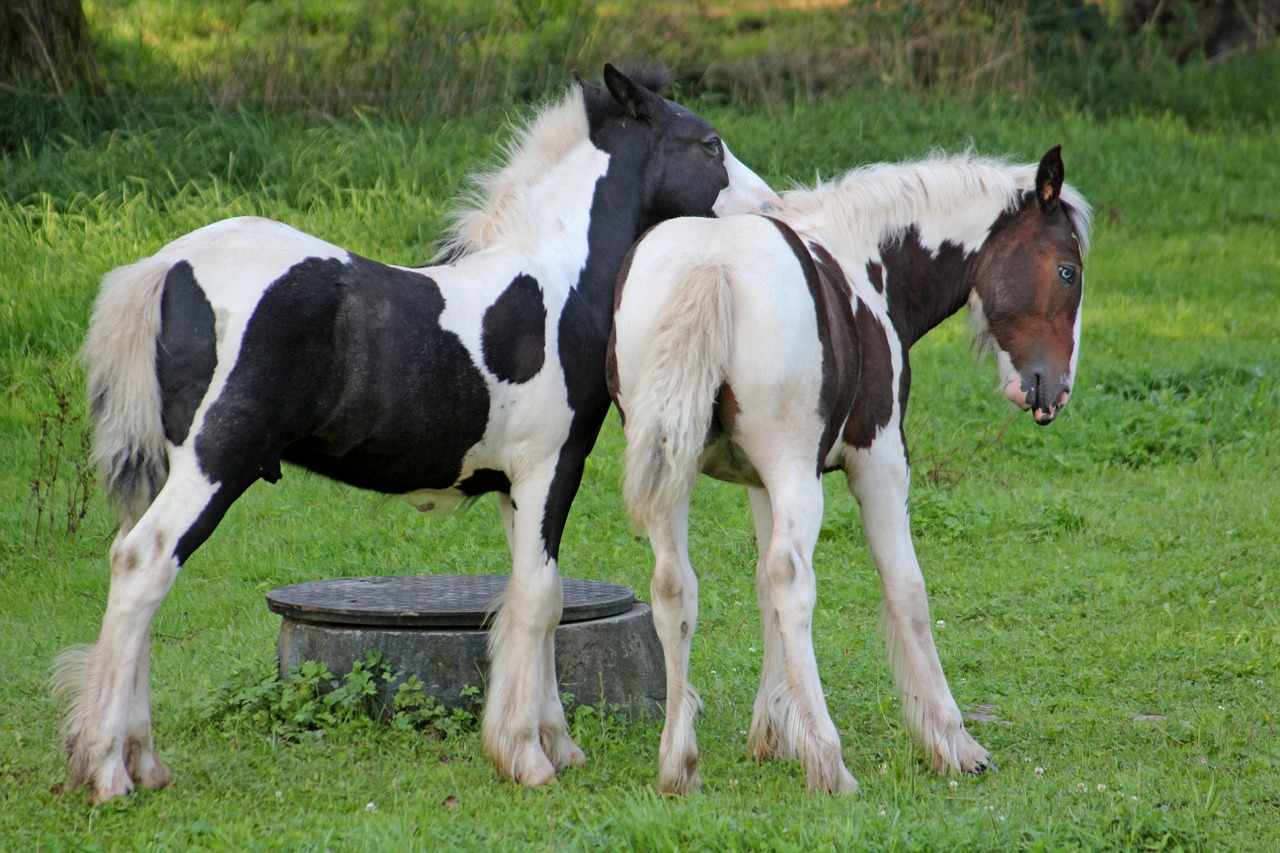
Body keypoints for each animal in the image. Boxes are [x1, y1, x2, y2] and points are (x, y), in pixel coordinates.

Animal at [60, 63, 783, 799]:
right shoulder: (552, 467)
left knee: (135, 573)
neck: (555, 283)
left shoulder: (513, 486)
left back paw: (143, 762)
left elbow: (538, 594)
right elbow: (539, 599)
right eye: (709, 144)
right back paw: (109, 771)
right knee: (144, 563)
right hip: (216, 460)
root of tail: (167, 267)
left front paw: (554, 742)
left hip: (170, 466)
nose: (774, 207)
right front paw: (528, 758)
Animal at [606, 146, 1090, 788]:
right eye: (1067, 272)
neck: (864, 268)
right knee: (792, 580)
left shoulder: (761, 483)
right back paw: (830, 762)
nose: (1054, 392)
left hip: (676, 476)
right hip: (792, 476)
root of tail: (711, 266)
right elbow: (907, 592)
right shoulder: (879, 462)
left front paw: (773, 733)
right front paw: (951, 740)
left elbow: (761, 587)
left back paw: (678, 763)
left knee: (675, 587)